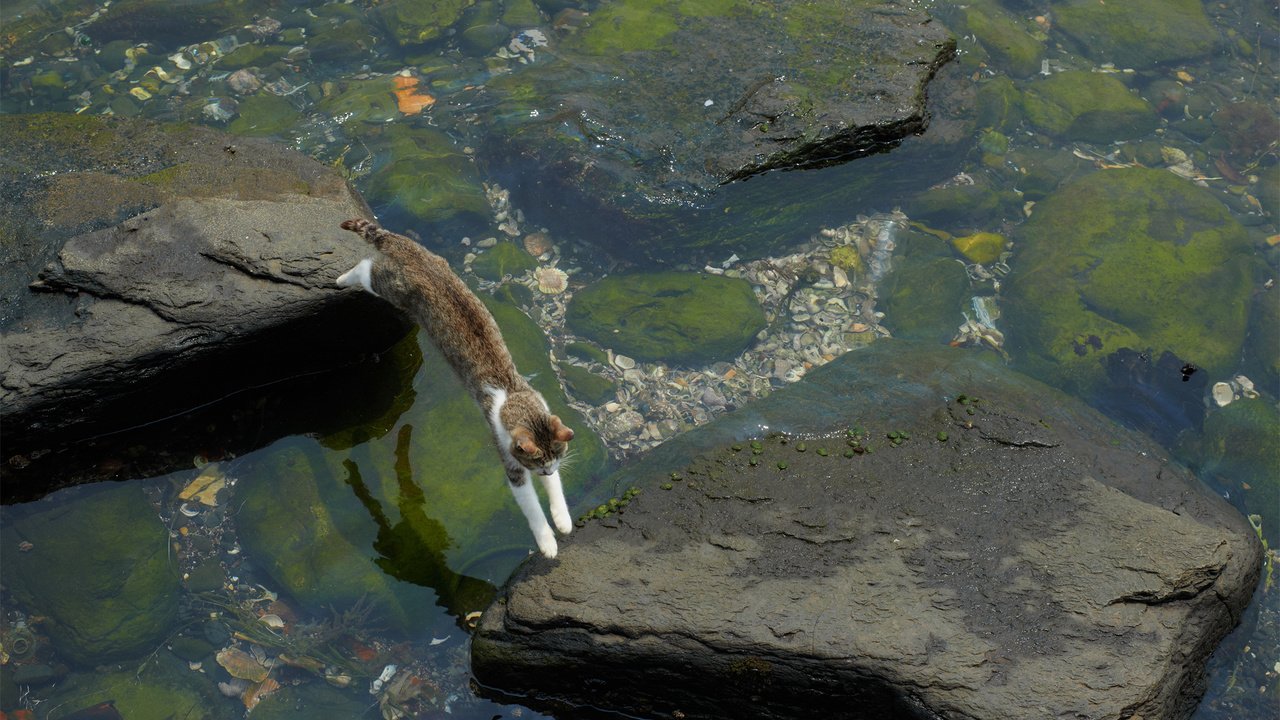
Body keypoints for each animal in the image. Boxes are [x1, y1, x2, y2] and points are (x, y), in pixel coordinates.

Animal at [340, 215, 581, 558]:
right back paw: (342, 278)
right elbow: (531, 506)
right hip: (392, 288)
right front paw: (546, 541)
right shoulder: (510, 460)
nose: (545, 471)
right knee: (366, 268)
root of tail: (418, 255)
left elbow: (556, 489)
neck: (514, 395)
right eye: (536, 462)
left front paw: (562, 519)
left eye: (554, 460)